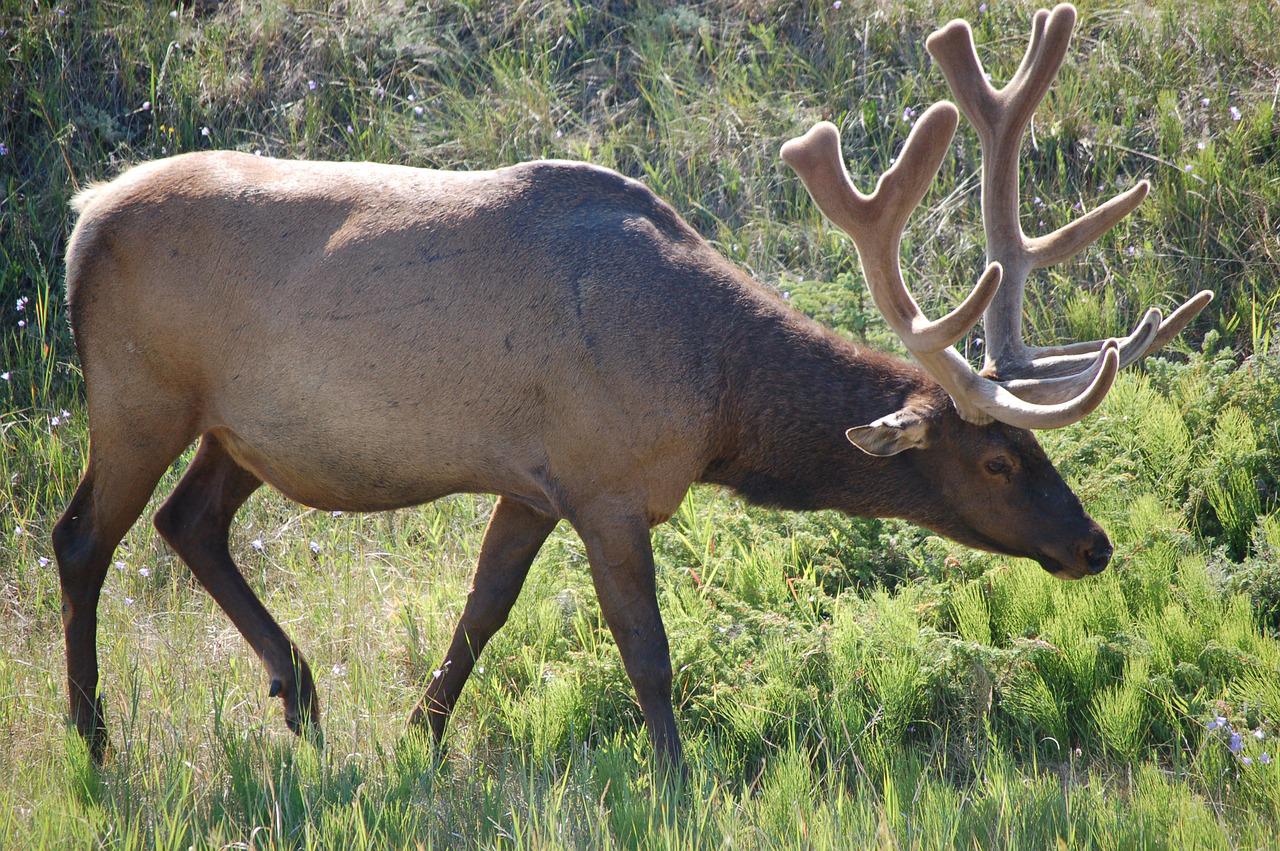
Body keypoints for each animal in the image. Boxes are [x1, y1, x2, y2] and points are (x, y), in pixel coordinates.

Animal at [52, 4, 1208, 762]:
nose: (1093, 543)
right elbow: (646, 651)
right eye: (999, 454)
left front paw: (421, 733)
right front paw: (676, 778)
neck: (710, 397)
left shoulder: (531, 480)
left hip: (236, 428)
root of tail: (82, 216)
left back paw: (298, 693)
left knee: (189, 523)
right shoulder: (606, 483)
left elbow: (481, 609)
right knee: (83, 538)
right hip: (137, 392)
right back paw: (95, 736)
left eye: (1038, 444)